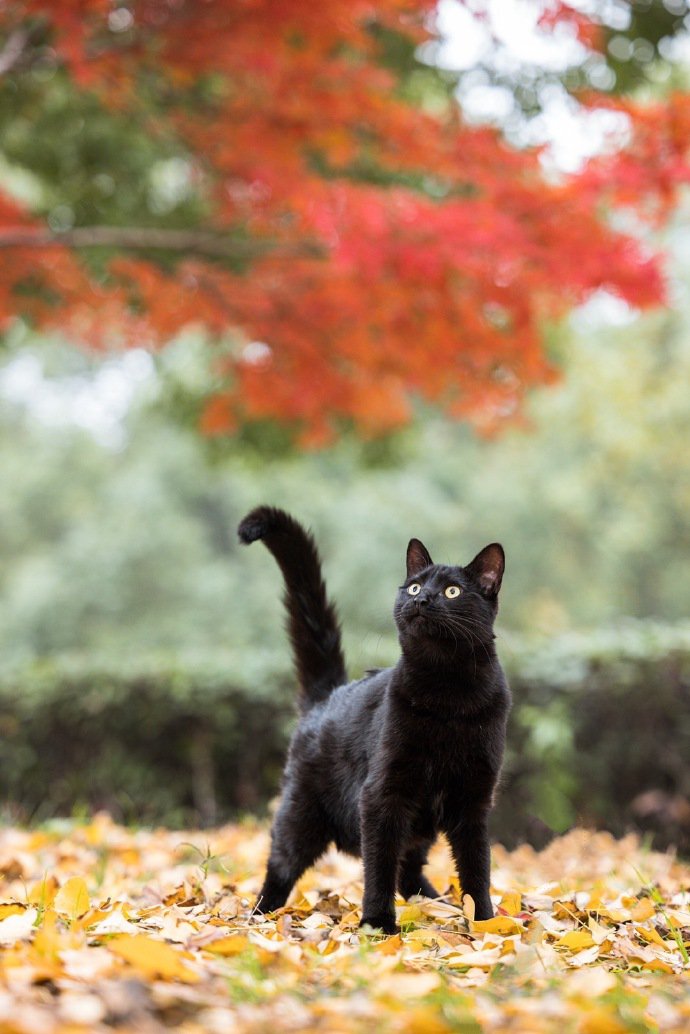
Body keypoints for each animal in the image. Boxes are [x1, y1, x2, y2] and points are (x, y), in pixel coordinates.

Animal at [237, 508, 513, 938]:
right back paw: (260, 916)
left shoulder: (474, 799)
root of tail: (329, 694)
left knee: (410, 872)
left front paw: (483, 921)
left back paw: (436, 905)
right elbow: (379, 865)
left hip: (419, 827)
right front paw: (378, 925)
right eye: (414, 587)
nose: (424, 599)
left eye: (452, 592)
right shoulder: (382, 794)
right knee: (281, 868)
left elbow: (476, 866)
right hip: (300, 814)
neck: (448, 696)